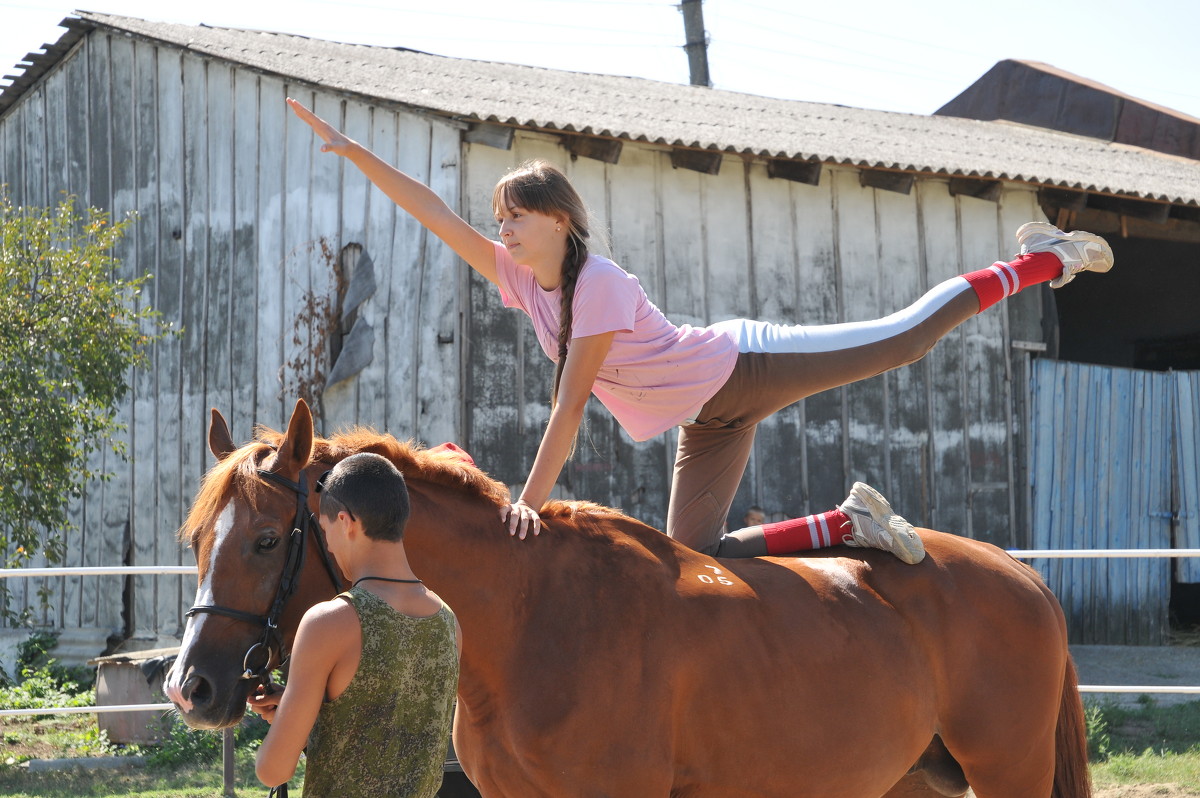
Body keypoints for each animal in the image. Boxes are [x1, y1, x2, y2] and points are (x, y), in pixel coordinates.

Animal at [164, 398, 1094, 796]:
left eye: (266, 539)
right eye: (198, 542)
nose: (191, 687)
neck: (527, 620)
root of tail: (1020, 574)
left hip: (1006, 776)